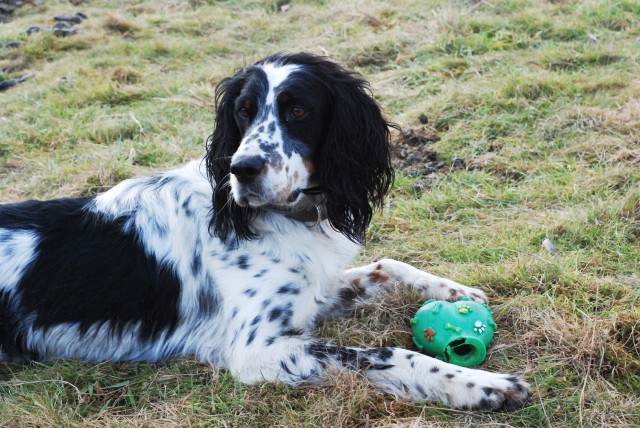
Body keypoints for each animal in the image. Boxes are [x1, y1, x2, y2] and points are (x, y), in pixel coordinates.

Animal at [0, 53, 528, 412]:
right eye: (243, 111)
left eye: (297, 110)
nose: (242, 169)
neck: (285, 217)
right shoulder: (258, 348)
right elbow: (388, 353)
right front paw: (480, 385)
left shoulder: (314, 292)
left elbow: (387, 265)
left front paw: (456, 291)